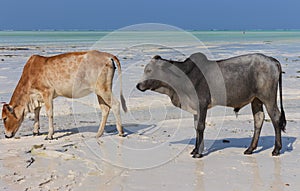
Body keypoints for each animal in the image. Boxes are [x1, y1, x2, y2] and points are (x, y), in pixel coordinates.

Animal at [136, 52, 286, 158]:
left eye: (149, 70)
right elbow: (196, 127)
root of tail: (272, 59)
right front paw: (195, 149)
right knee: (259, 119)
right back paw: (250, 149)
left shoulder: (202, 104)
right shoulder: (196, 109)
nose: (138, 85)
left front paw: (198, 153)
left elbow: (201, 127)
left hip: (268, 98)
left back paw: (276, 149)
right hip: (256, 100)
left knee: (275, 118)